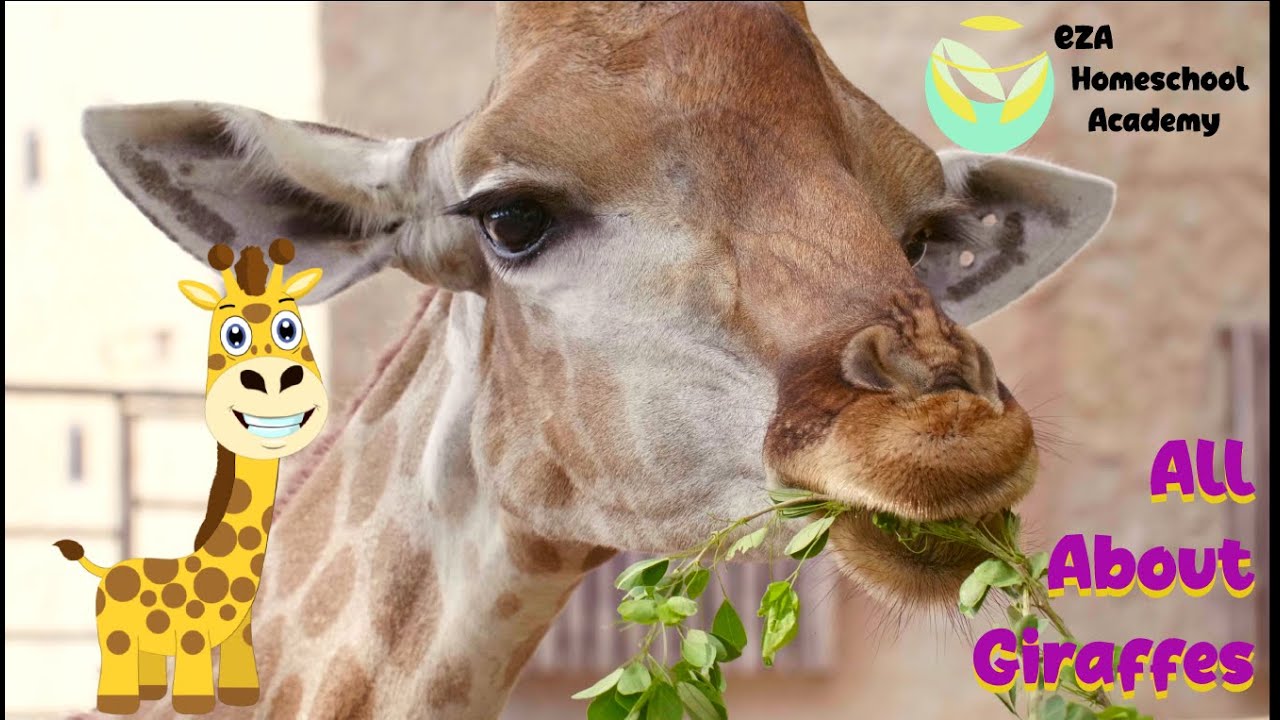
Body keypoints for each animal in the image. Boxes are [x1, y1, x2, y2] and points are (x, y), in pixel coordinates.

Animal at [55, 239, 329, 716]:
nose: (276, 379)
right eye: (233, 335)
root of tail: (106, 569)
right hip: (116, 633)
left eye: (289, 329)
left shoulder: (238, 638)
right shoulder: (195, 639)